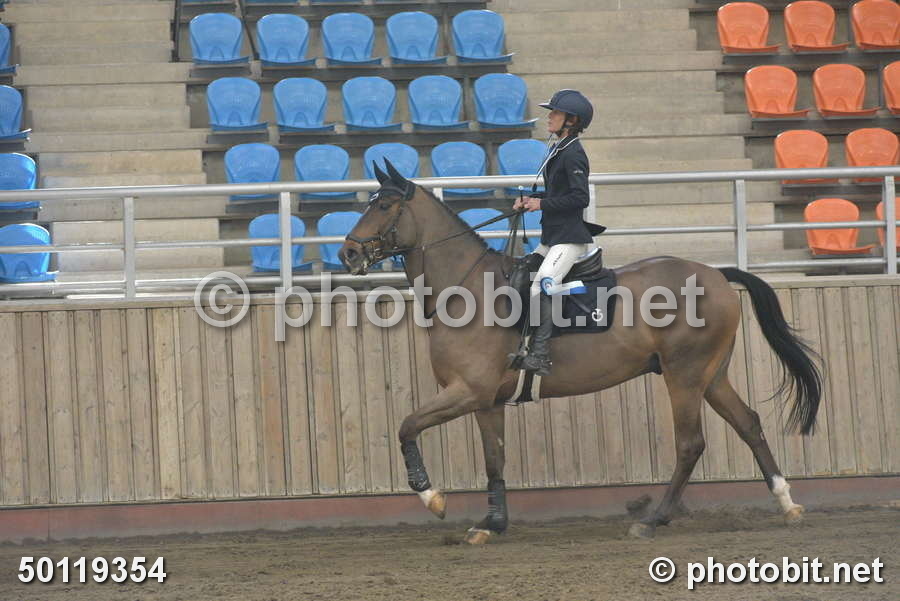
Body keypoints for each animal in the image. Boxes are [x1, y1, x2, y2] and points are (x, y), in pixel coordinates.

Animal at [338, 160, 824, 544]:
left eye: (383, 206)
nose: (347, 253)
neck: (467, 290)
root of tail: (716, 274)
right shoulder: (486, 401)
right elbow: (495, 459)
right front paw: (491, 524)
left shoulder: (466, 391)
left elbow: (406, 426)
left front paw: (432, 498)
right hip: (711, 374)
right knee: (748, 423)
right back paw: (787, 503)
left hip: (684, 376)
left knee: (691, 444)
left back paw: (653, 520)